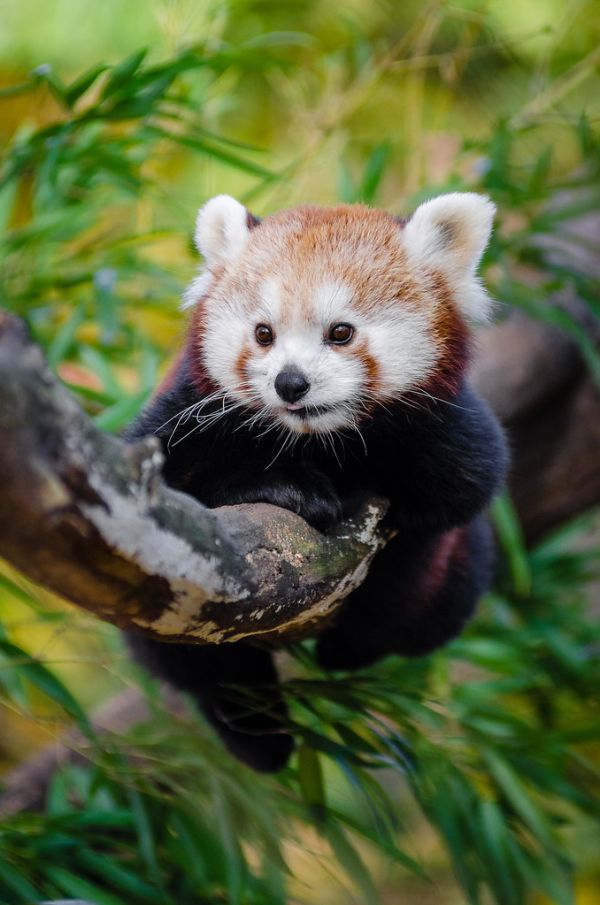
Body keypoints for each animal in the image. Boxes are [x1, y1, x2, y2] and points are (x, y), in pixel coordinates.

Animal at [124, 192, 508, 772]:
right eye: (263, 333)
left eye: (340, 331)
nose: (291, 382)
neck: (319, 441)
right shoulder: (185, 415)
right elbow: (178, 477)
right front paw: (292, 490)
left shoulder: (452, 435)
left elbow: (456, 493)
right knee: (199, 665)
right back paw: (257, 733)